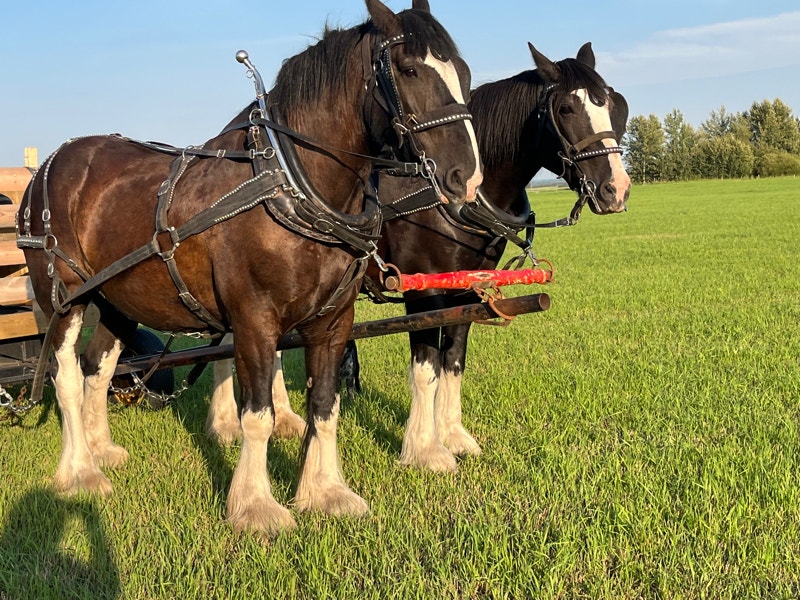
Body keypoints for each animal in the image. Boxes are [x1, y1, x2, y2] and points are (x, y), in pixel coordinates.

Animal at [17, 0, 482, 537]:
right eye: (407, 69)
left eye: (465, 73)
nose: (467, 178)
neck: (292, 184)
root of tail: (52, 161)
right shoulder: (255, 319)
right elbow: (256, 414)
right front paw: (256, 506)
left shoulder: (333, 320)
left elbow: (325, 406)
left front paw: (324, 492)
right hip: (65, 299)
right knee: (67, 377)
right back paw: (79, 471)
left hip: (116, 299)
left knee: (98, 368)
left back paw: (101, 449)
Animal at [206, 41, 631, 474]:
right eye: (566, 108)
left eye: (615, 105)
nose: (617, 190)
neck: (455, 202)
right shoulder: (424, 291)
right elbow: (426, 369)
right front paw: (425, 449)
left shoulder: (468, 289)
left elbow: (454, 362)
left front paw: (455, 435)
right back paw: (225, 424)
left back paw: (283, 417)